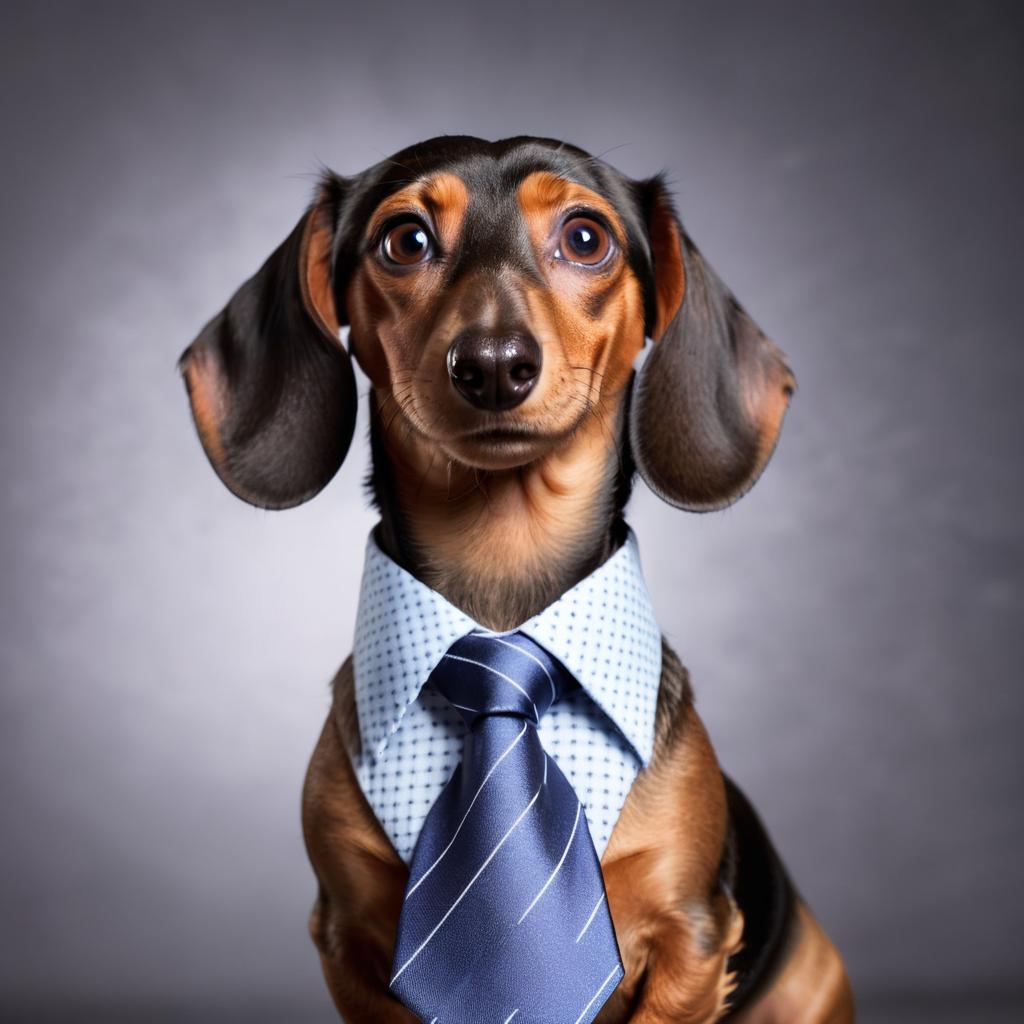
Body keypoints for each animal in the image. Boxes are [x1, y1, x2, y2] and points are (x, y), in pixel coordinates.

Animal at [180, 136, 851, 1024]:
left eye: (586, 238)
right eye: (405, 240)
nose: (494, 365)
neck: (502, 600)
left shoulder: (693, 938)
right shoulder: (348, 940)